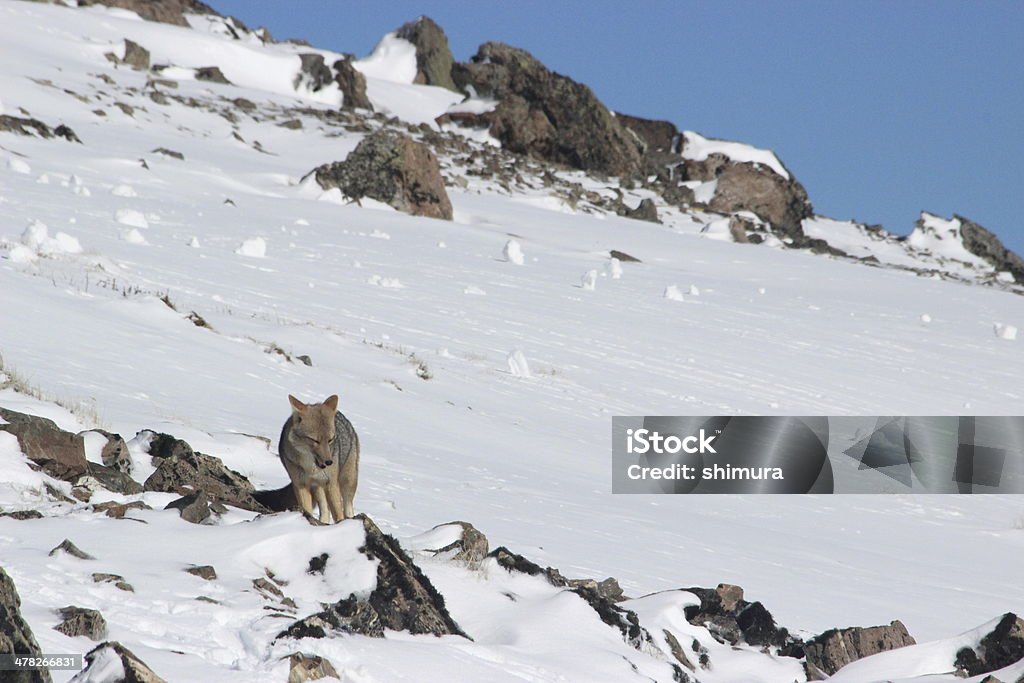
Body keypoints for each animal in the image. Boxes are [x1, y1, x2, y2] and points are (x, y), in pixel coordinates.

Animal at [276, 395, 360, 524]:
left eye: (330, 440)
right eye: (315, 440)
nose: (329, 462)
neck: (310, 468)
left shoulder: (331, 484)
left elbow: (338, 514)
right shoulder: (300, 484)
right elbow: (307, 510)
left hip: (347, 481)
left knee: (347, 508)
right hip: (318, 488)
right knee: (325, 510)